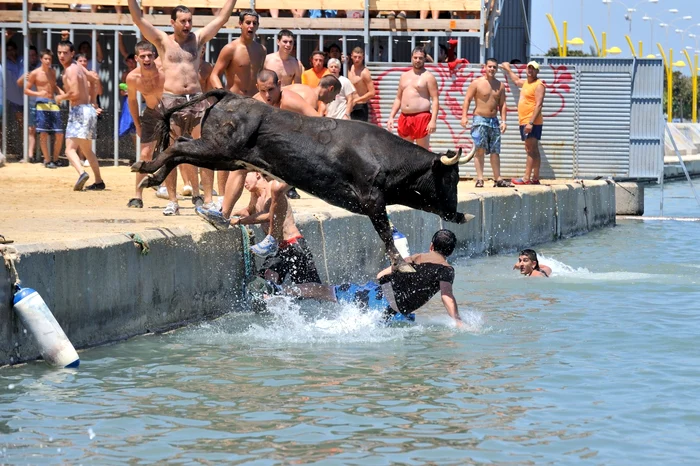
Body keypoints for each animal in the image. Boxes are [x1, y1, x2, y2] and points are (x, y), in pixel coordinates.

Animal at [134, 89, 474, 272]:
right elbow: (386, 233)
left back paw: (152, 176)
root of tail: (229, 95)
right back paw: (146, 167)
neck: (383, 153)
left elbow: (401, 221)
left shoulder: (388, 197)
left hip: (222, 157)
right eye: (451, 178)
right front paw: (401, 263)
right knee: (177, 147)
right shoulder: (372, 199)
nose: (455, 210)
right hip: (218, 149)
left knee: (180, 149)